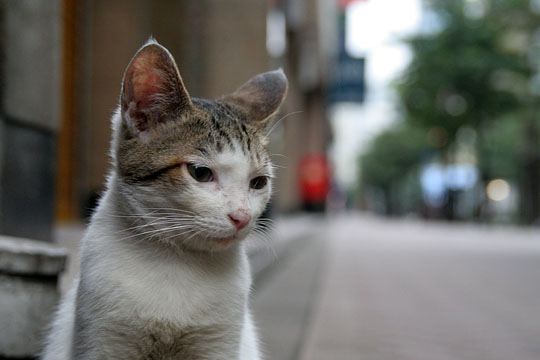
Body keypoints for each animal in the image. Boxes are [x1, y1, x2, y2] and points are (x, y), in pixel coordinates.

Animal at [42, 39, 286, 360]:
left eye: (258, 182)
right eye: (200, 173)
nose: (242, 217)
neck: (176, 260)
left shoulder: (220, 343)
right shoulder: (102, 338)